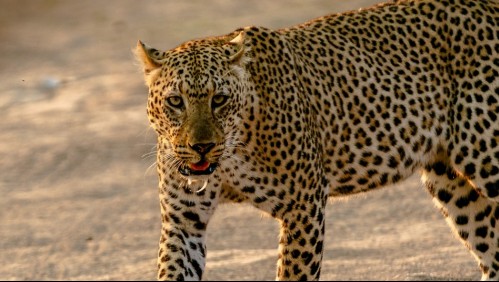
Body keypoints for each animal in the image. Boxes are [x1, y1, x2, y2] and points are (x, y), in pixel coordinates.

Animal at [134, 0, 499, 280]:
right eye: (176, 101)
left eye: (219, 99)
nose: (202, 147)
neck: (231, 157)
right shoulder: (183, 221)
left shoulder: (303, 206)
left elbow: (293, 273)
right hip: (451, 182)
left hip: (486, 158)